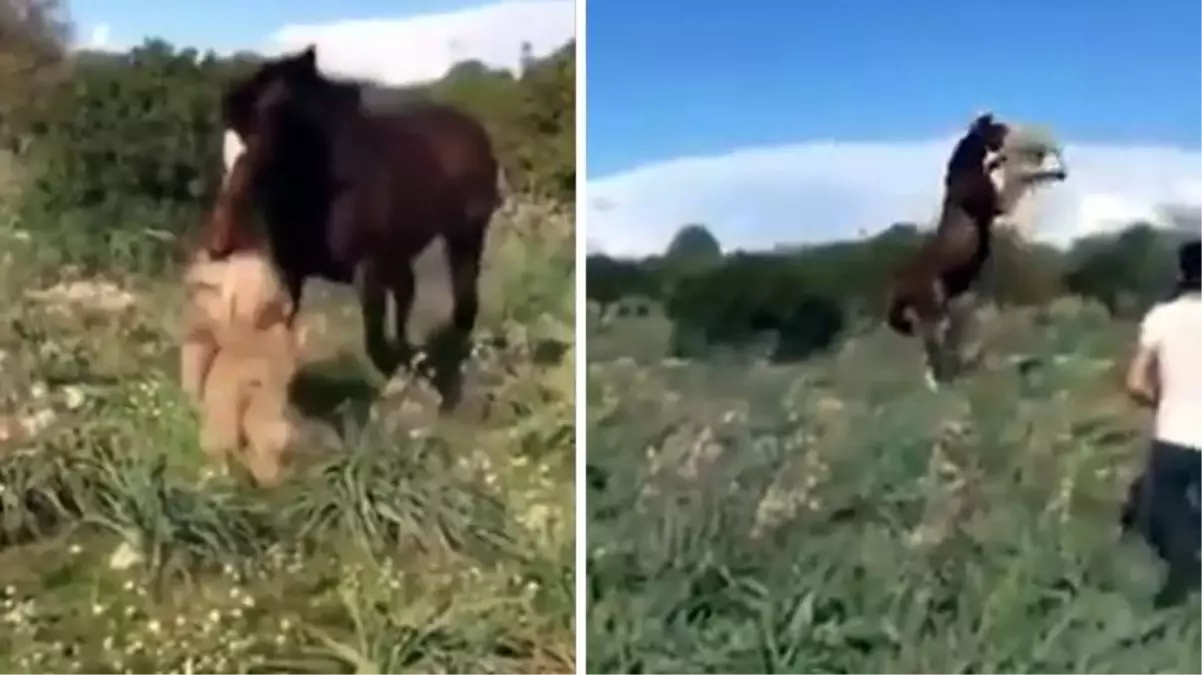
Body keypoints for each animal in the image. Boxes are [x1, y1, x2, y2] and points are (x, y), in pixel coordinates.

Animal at [206, 45, 502, 410]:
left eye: (259, 142)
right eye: (225, 143)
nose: (220, 243)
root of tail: (473, 128)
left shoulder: (368, 270)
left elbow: (376, 346)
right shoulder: (290, 273)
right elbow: (282, 334)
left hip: (463, 237)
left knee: (463, 298)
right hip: (403, 253)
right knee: (409, 293)